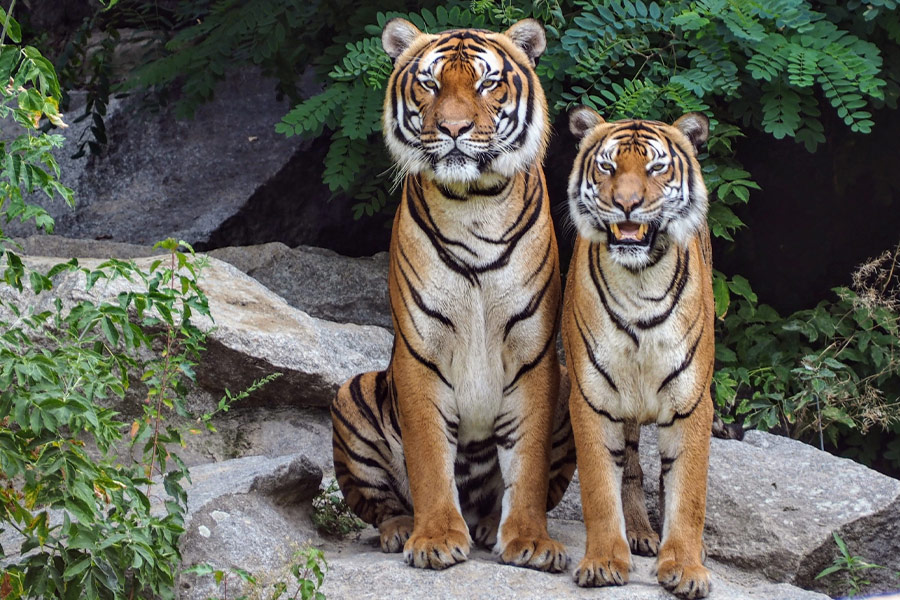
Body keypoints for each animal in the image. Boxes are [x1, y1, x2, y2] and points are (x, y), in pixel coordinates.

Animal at [330, 18, 575, 572]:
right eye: (430, 83)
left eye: (487, 84)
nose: (454, 129)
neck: (474, 203)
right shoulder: (421, 351)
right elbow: (427, 457)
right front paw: (437, 537)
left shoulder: (534, 354)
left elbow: (527, 464)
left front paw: (530, 540)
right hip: (352, 393)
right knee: (379, 504)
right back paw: (402, 528)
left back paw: (488, 525)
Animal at [560, 106, 715, 599]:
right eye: (608, 167)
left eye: (656, 168)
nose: (626, 204)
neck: (640, 281)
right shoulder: (591, 398)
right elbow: (598, 486)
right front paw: (603, 561)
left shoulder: (692, 403)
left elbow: (687, 492)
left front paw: (685, 566)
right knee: (629, 467)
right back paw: (640, 534)